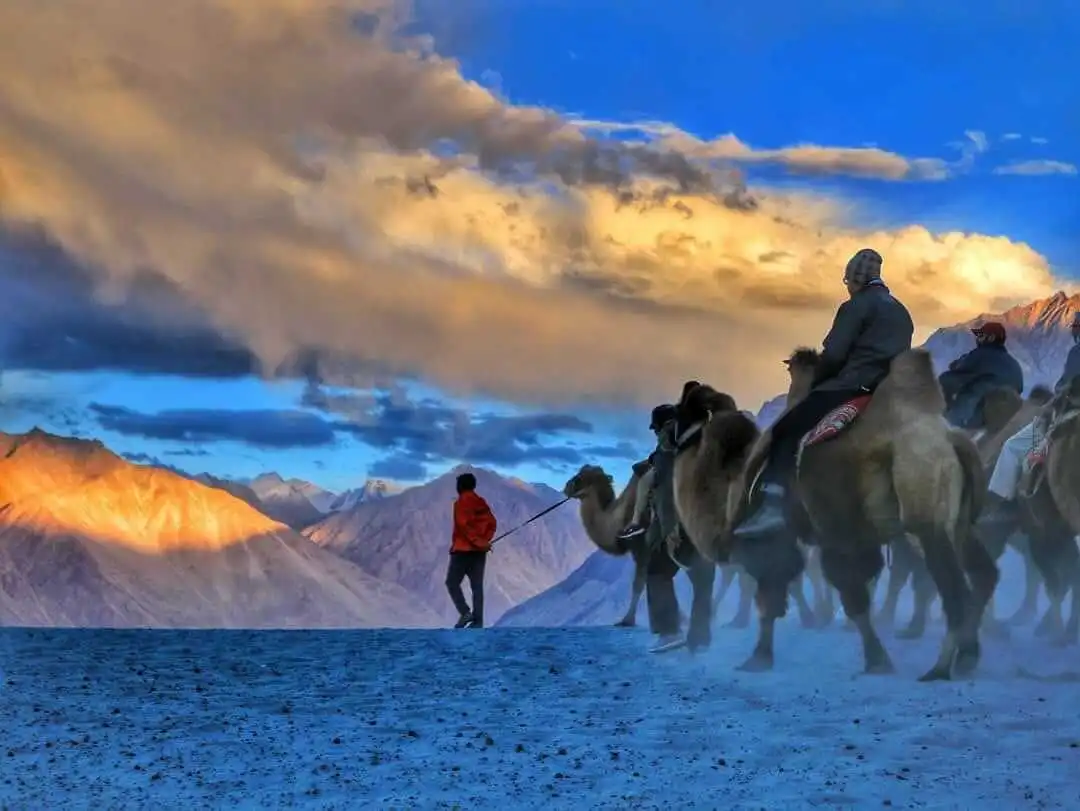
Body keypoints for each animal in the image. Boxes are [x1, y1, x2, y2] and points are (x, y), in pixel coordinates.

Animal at [721, 345, 997, 682]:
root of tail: (952, 441)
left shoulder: (828, 534)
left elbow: (837, 592)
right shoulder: (852, 536)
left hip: (926, 521)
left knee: (955, 591)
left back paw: (940, 667)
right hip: (958, 524)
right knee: (983, 575)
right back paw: (968, 655)